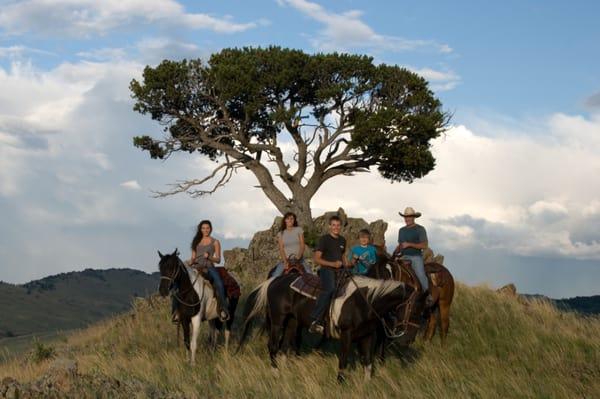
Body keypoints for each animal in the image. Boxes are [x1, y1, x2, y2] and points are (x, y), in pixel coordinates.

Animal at [237, 270, 414, 382]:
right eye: (410, 306)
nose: (405, 337)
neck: (362, 301)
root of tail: (273, 281)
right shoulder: (346, 334)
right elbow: (343, 359)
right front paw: (340, 382)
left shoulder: (367, 335)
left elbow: (367, 361)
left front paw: (367, 384)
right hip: (277, 320)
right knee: (273, 345)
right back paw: (275, 373)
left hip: (292, 322)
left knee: (285, 346)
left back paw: (286, 371)